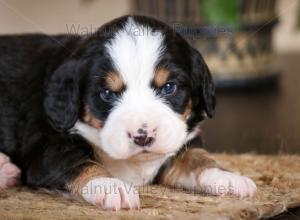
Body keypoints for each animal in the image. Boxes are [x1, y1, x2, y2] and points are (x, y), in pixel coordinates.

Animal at [0, 15, 255, 210]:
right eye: (107, 93)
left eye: (169, 87)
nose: (143, 136)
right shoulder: (46, 147)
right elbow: (79, 162)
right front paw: (110, 186)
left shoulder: (180, 143)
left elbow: (197, 157)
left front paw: (227, 177)